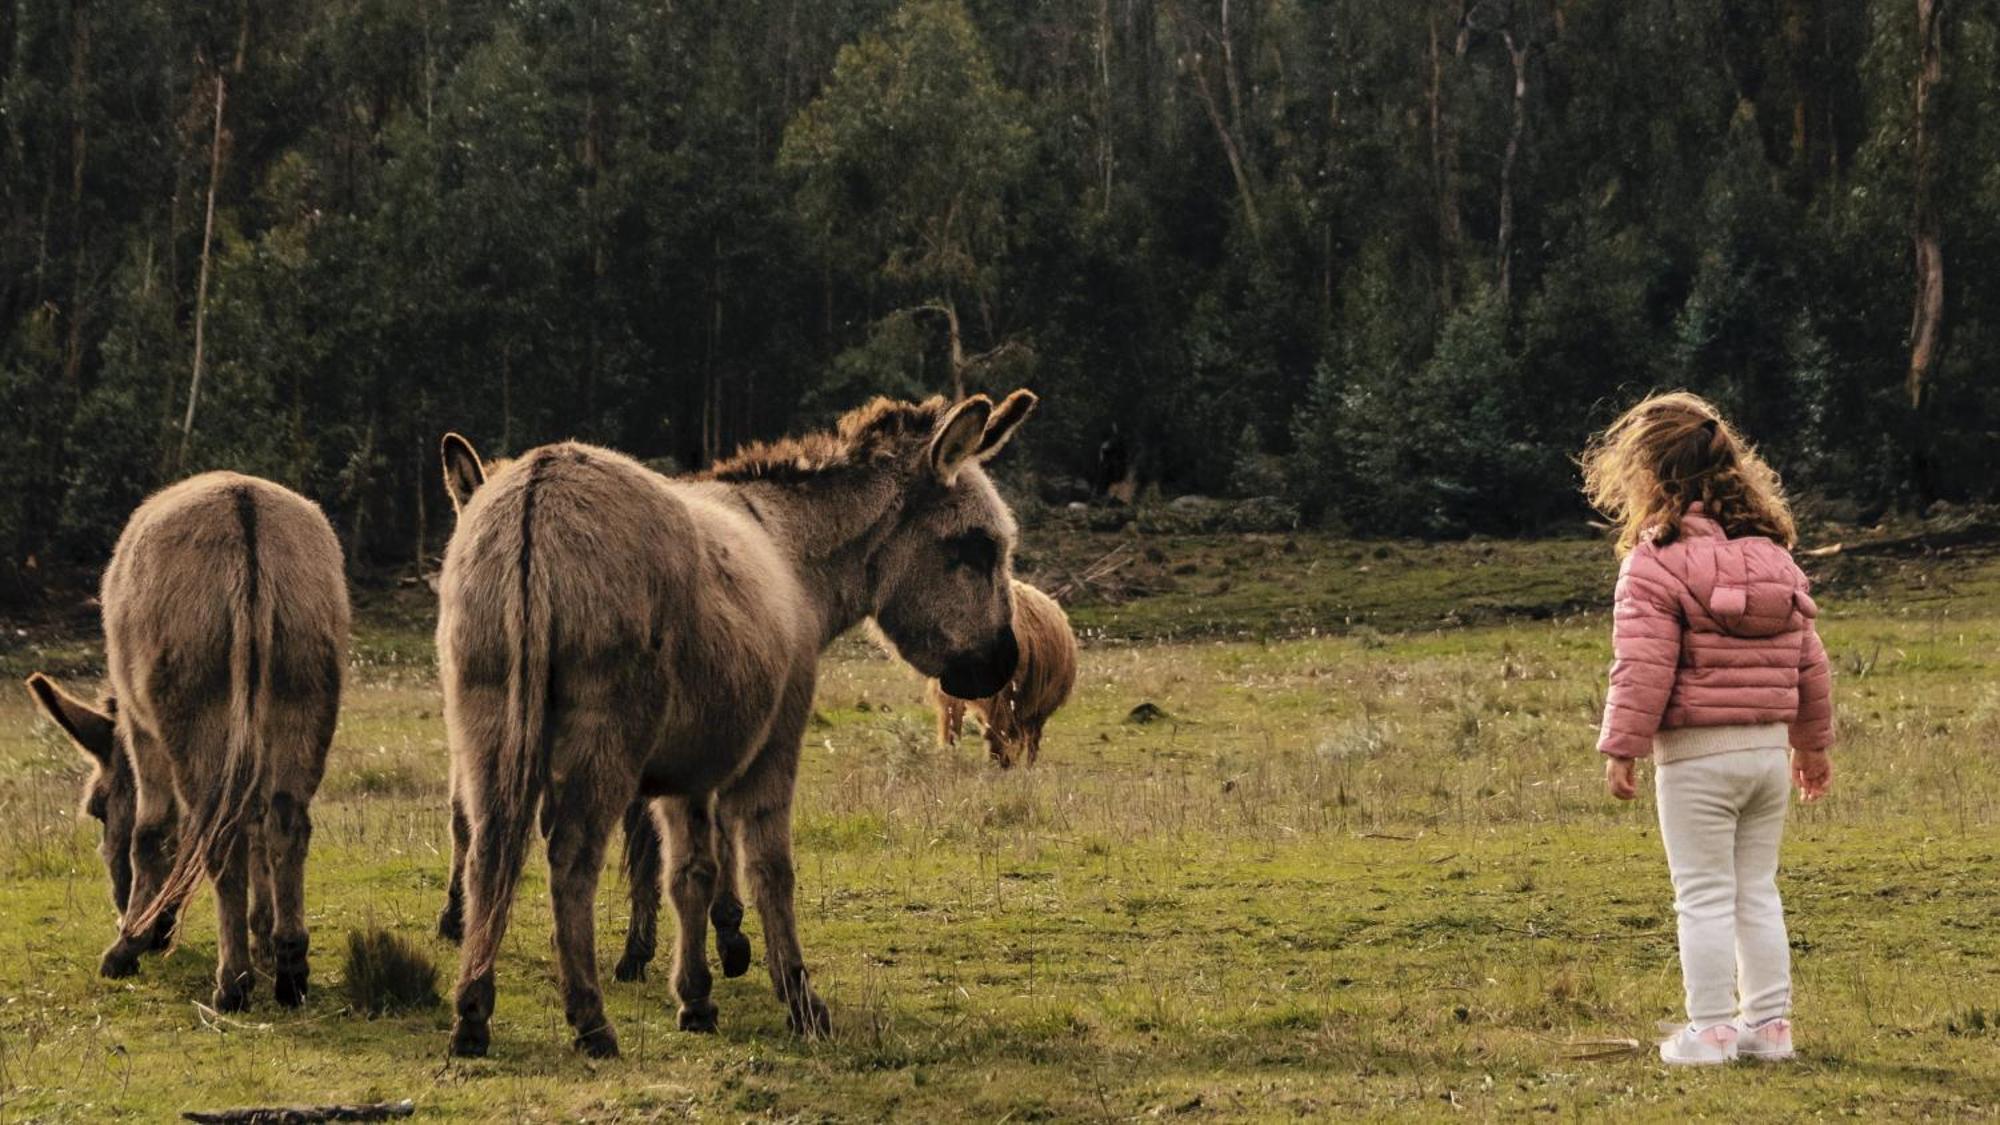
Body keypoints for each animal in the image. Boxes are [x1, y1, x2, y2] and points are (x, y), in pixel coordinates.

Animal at [25, 472, 346, 1008]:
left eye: (97, 809)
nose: (126, 915)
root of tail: (243, 506)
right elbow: (255, 827)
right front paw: (263, 936)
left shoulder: (142, 731)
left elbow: (149, 833)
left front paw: (128, 943)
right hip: (305, 698)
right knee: (286, 825)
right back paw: (289, 969)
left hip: (198, 715)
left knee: (218, 838)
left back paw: (232, 981)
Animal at [434, 388, 1032, 1048]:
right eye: (975, 547)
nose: (1005, 665)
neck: (792, 553)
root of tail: (539, 489)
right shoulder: (774, 742)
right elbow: (771, 867)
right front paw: (798, 999)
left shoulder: (693, 764)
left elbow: (691, 871)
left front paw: (696, 998)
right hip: (605, 741)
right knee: (569, 859)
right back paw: (589, 1020)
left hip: (485, 728)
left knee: (487, 848)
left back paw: (473, 1012)